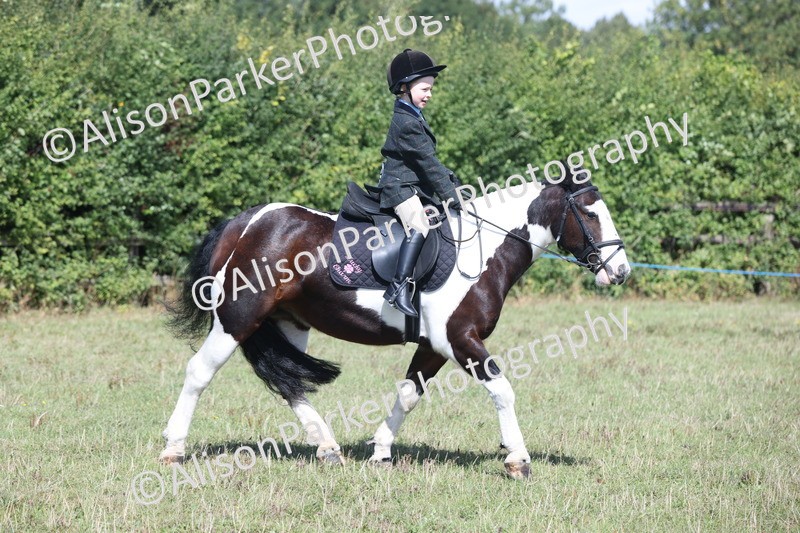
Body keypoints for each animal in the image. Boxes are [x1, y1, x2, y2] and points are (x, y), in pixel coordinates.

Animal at [160, 168, 631, 479]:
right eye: (590, 214)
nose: (621, 271)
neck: (483, 250)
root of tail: (244, 223)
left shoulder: (433, 347)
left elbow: (407, 395)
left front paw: (381, 450)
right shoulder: (460, 340)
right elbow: (502, 389)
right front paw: (518, 459)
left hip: (291, 324)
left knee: (290, 384)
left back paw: (328, 448)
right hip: (237, 319)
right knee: (199, 373)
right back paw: (173, 450)